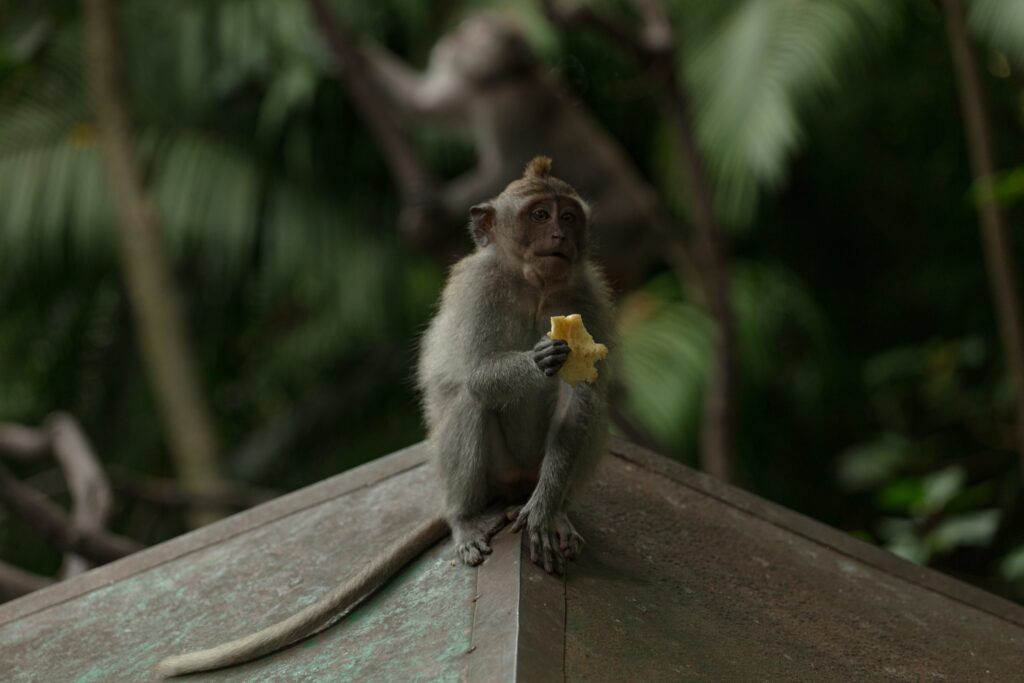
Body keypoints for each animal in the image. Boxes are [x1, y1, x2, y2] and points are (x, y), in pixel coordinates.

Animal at [154, 156, 610, 679]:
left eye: (568, 216)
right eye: (539, 215)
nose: (559, 236)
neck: (535, 285)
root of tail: (510, 485)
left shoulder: (588, 294)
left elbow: (584, 399)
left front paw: (546, 511)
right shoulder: (478, 286)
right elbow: (473, 374)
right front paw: (542, 359)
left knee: (592, 414)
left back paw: (557, 510)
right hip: (494, 473)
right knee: (469, 401)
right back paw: (465, 519)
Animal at [358, 12, 688, 292]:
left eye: (479, 29)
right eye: (468, 24)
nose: (456, 33)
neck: (497, 80)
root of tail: (651, 213)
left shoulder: (511, 108)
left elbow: (504, 169)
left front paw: (438, 204)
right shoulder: (471, 92)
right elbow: (420, 105)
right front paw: (358, 50)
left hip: (614, 225)